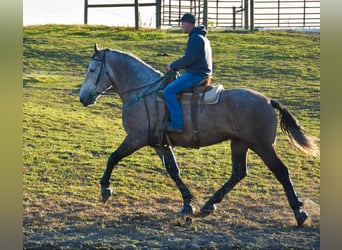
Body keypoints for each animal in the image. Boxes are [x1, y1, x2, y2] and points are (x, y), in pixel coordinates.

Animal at [79, 44, 318, 227]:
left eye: (92, 69)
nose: (83, 97)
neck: (142, 91)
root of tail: (268, 101)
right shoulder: (159, 144)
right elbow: (173, 170)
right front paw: (187, 204)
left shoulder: (135, 139)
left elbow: (113, 157)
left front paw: (105, 188)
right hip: (239, 143)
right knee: (238, 173)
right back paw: (210, 203)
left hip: (262, 146)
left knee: (281, 172)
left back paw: (299, 212)